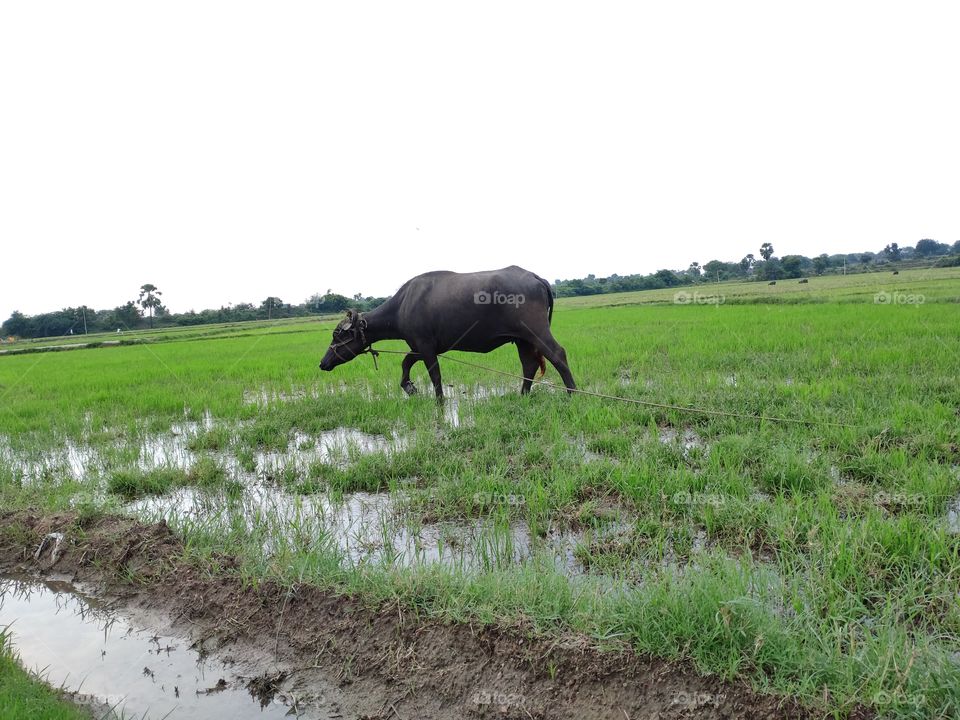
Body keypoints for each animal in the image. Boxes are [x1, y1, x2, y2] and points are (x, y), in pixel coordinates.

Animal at [320, 266, 576, 400]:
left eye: (337, 335)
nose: (323, 363)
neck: (402, 307)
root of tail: (535, 277)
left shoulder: (425, 346)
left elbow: (434, 375)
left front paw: (439, 400)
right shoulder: (421, 346)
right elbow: (406, 362)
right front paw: (409, 387)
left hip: (536, 331)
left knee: (558, 354)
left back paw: (572, 392)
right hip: (522, 339)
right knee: (529, 365)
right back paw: (522, 394)